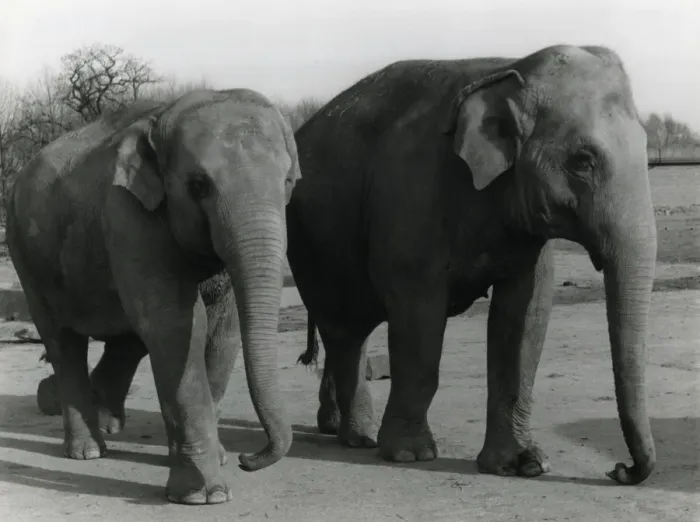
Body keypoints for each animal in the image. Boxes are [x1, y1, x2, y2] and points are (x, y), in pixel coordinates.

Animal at [6, 88, 301, 504]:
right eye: (198, 186)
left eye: (288, 181)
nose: (249, 459)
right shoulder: (128, 213)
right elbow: (175, 325)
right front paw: (203, 495)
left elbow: (221, 330)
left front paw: (219, 460)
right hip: (26, 254)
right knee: (63, 339)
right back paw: (87, 450)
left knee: (127, 339)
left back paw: (107, 422)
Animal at [287, 44, 657, 485]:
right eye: (583, 160)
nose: (619, 470)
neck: (509, 70)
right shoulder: (411, 195)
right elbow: (420, 316)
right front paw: (411, 455)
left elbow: (525, 315)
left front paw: (524, 464)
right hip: (313, 245)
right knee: (344, 331)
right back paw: (360, 439)